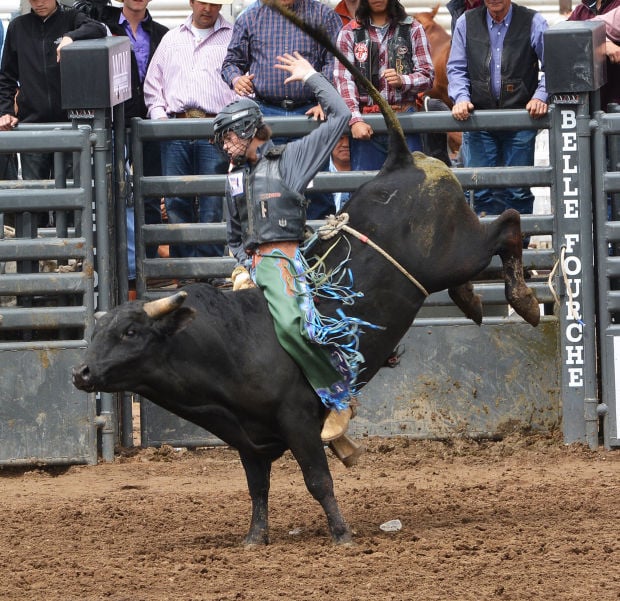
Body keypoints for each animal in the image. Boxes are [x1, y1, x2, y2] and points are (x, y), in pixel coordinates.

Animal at [71, 1, 536, 544]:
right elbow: (257, 488)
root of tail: (401, 161)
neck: (226, 344)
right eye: (97, 332)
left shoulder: (297, 421)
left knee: (507, 224)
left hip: (457, 251)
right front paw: (256, 537)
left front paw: (341, 532)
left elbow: (318, 480)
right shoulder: (248, 441)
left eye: (129, 331)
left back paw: (522, 300)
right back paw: (471, 299)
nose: (82, 373)